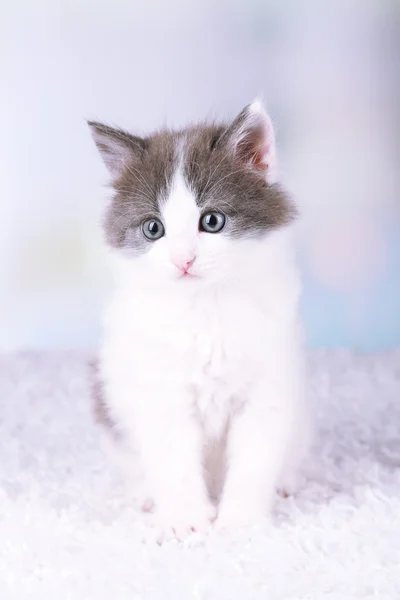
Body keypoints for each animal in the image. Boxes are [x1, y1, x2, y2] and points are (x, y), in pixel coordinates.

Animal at [89, 101, 310, 540]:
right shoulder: (160, 393)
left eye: (211, 221)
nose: (183, 260)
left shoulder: (269, 387)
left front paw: (240, 521)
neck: (205, 308)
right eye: (153, 228)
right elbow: (173, 461)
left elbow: (255, 459)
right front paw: (185, 520)